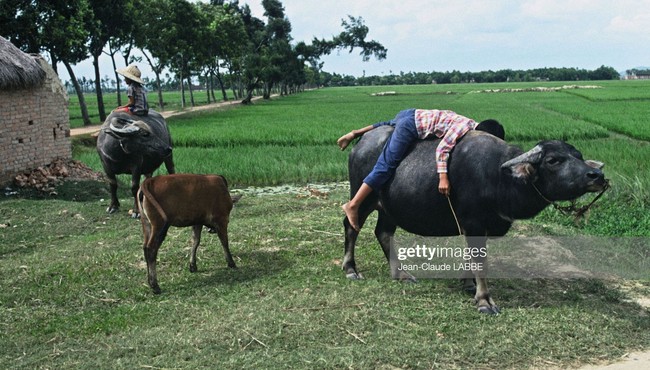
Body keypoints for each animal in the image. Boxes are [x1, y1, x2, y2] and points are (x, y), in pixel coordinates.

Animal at [342, 125, 604, 314]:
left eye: (578, 156)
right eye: (553, 160)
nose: (597, 175)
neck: (500, 176)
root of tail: (360, 145)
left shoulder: (477, 227)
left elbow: (471, 256)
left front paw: (468, 284)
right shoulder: (474, 222)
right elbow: (480, 261)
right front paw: (484, 300)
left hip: (389, 209)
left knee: (383, 232)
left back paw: (401, 273)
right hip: (363, 198)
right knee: (351, 225)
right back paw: (351, 268)